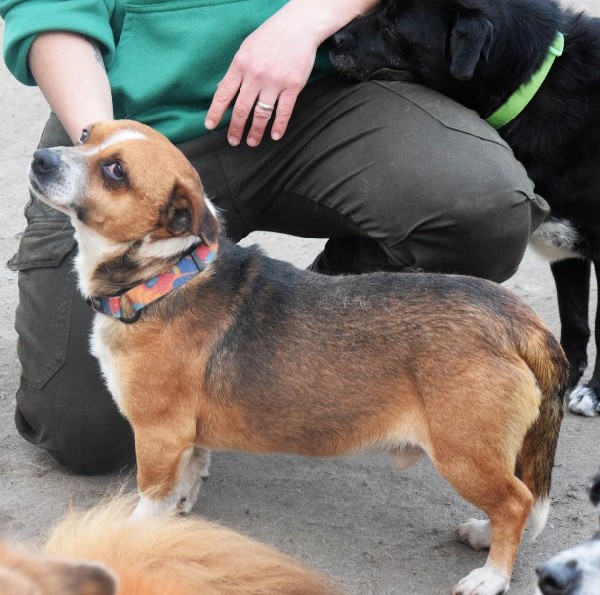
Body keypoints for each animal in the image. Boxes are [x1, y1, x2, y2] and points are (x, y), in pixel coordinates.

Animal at [29, 118, 572, 592]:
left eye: (116, 171)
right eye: (85, 134)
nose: (40, 160)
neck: (167, 275)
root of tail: (516, 319)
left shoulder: (158, 435)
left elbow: (151, 500)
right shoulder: (184, 439)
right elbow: (189, 477)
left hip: (463, 453)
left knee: (517, 503)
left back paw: (492, 575)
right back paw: (482, 532)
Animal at [330, 0, 600, 420]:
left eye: (394, 23)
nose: (331, 40)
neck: (535, 84)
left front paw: (595, 393)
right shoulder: (568, 249)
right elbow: (574, 323)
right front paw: (562, 382)